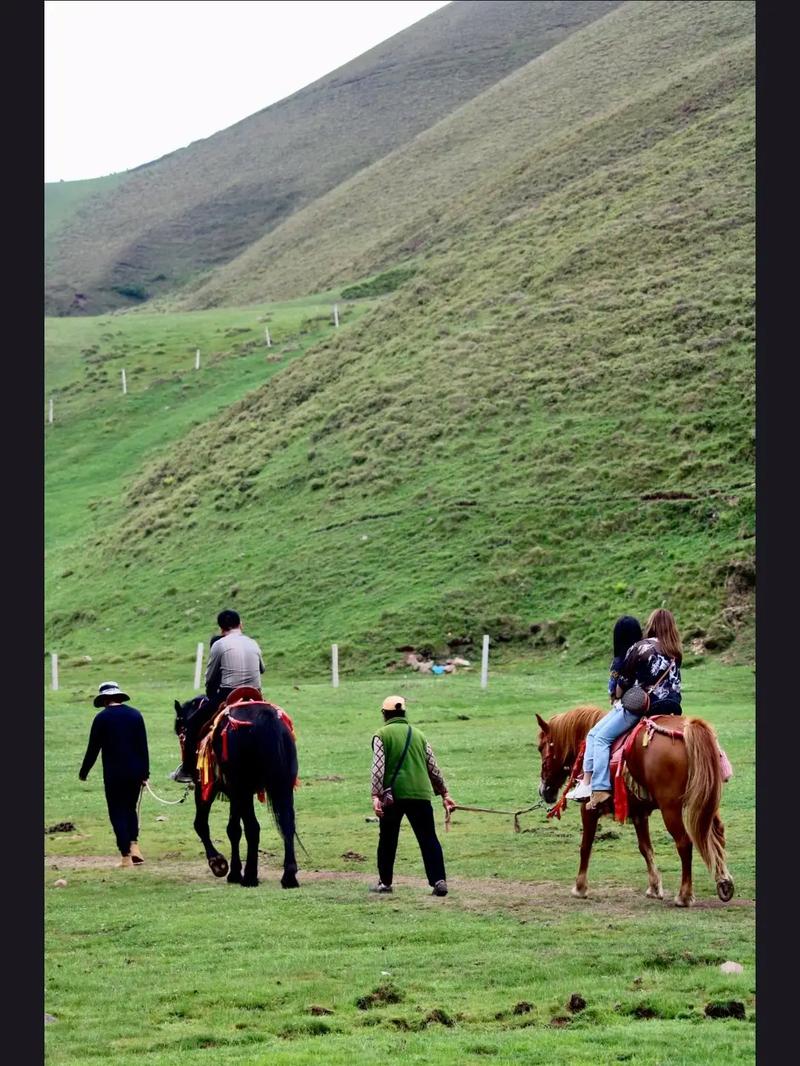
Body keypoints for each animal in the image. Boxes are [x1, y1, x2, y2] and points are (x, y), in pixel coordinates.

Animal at [174, 695, 300, 886]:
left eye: (180, 729)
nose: (184, 769)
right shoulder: (235, 794)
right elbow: (233, 829)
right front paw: (234, 872)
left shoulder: (206, 789)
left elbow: (201, 824)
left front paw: (219, 864)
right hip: (281, 786)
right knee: (287, 823)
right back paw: (289, 876)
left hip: (244, 788)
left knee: (253, 827)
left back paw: (250, 876)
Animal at [535, 707, 738, 908]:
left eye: (540, 748)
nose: (544, 790)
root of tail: (688, 730)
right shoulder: (640, 814)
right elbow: (645, 848)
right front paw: (654, 888)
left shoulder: (588, 809)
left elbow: (585, 846)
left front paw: (580, 888)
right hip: (707, 802)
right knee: (717, 834)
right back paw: (724, 882)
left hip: (670, 808)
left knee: (684, 842)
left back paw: (684, 896)